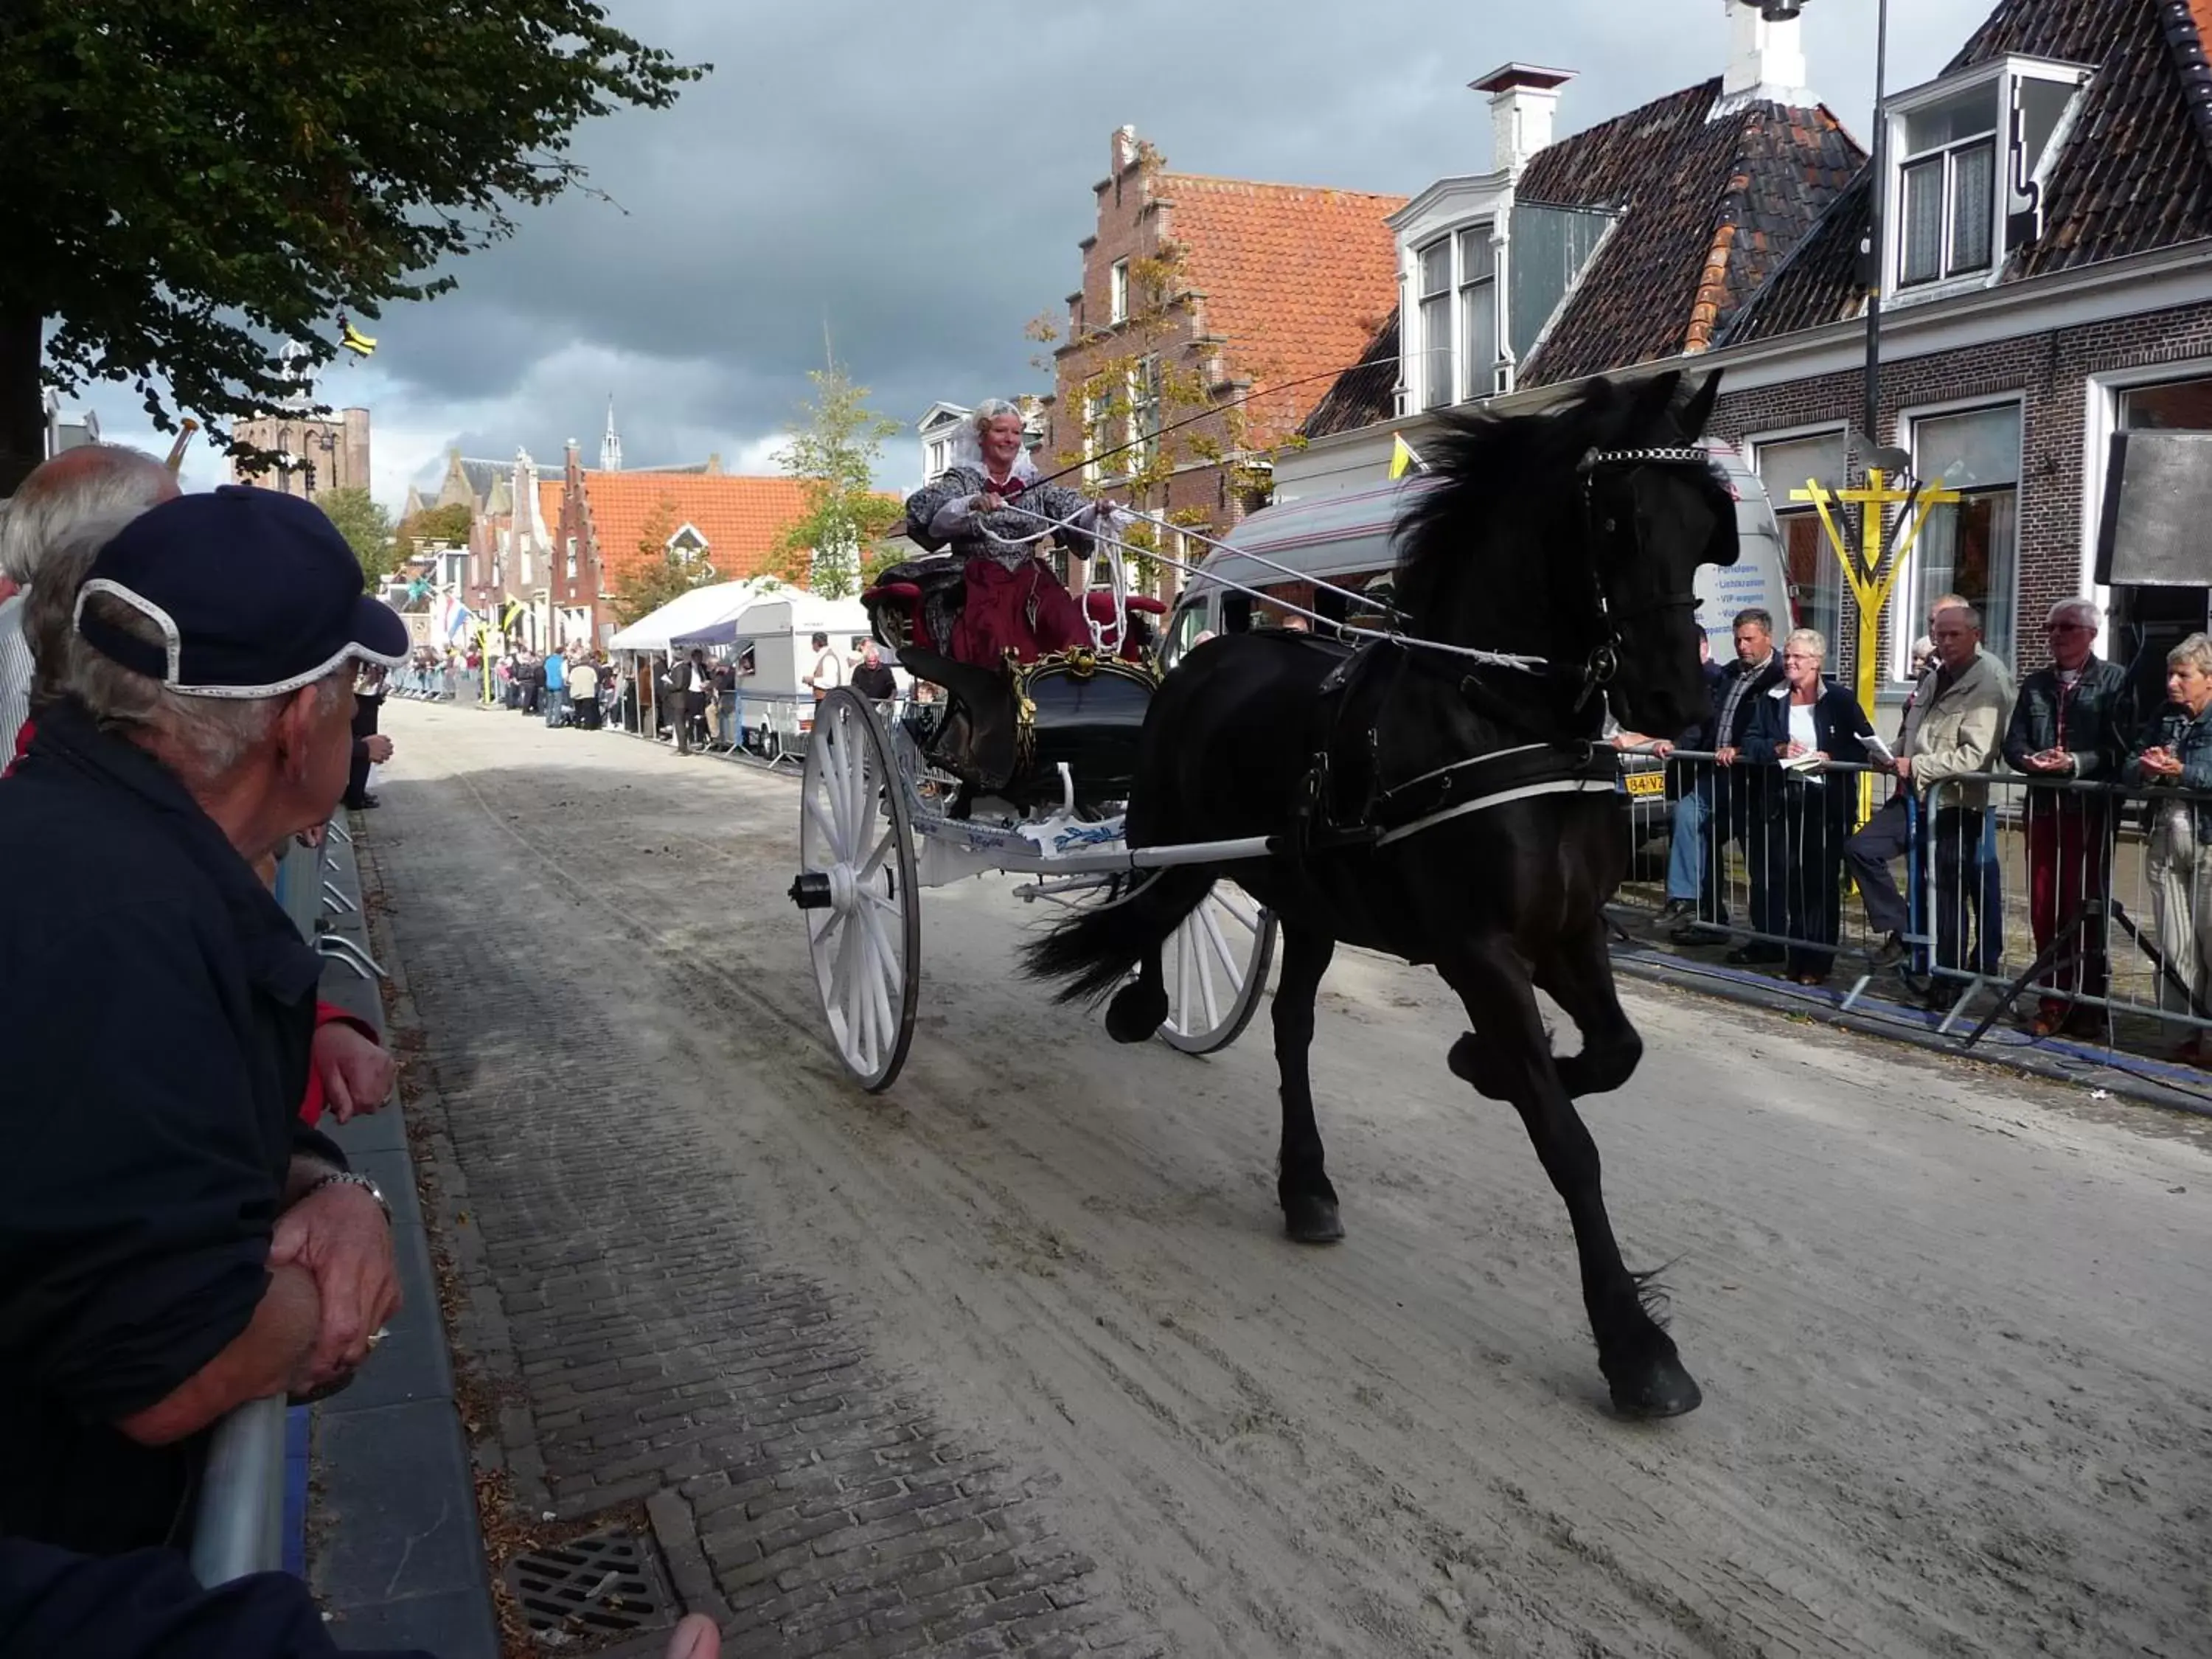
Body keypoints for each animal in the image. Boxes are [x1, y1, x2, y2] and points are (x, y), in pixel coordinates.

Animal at [1026, 369, 1734, 1425]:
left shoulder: (1569, 935)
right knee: (1153, 909)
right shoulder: (1480, 951)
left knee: (1289, 1026)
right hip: (1174, 834)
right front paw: (1634, 1346)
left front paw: (1480, 1063)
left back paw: (1306, 1185)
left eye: (1706, 528)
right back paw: (1145, 1006)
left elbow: (1614, 1053)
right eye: (1617, 519)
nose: (1677, 701)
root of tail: (1203, 656)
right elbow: (1567, 1141)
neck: (1501, 715)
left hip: (1309, 899)